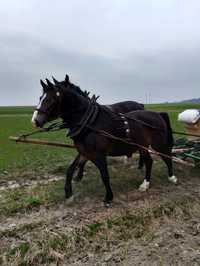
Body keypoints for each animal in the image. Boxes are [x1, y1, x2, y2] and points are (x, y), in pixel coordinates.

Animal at [32, 75, 177, 206]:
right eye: (40, 98)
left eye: (50, 99)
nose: (35, 121)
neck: (90, 122)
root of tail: (157, 114)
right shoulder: (84, 152)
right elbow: (71, 169)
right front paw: (69, 194)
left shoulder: (99, 154)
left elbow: (104, 175)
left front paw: (108, 197)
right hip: (142, 146)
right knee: (149, 161)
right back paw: (145, 184)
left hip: (158, 144)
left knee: (167, 156)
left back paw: (171, 177)